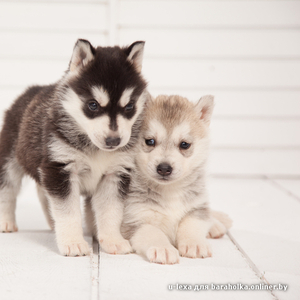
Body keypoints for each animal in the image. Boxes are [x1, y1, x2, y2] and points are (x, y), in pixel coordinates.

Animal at [0, 39, 149, 255]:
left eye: (129, 107)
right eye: (93, 105)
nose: (114, 141)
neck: (95, 149)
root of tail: (31, 90)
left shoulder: (115, 174)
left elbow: (111, 211)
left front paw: (113, 240)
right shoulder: (61, 168)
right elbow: (68, 211)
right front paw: (73, 243)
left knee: (42, 192)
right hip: (10, 159)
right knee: (7, 188)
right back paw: (6, 221)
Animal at [121, 95, 232, 264]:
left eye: (184, 144)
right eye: (150, 141)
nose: (164, 168)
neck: (170, 191)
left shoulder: (196, 208)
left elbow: (191, 224)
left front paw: (195, 244)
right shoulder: (133, 220)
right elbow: (152, 231)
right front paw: (163, 248)